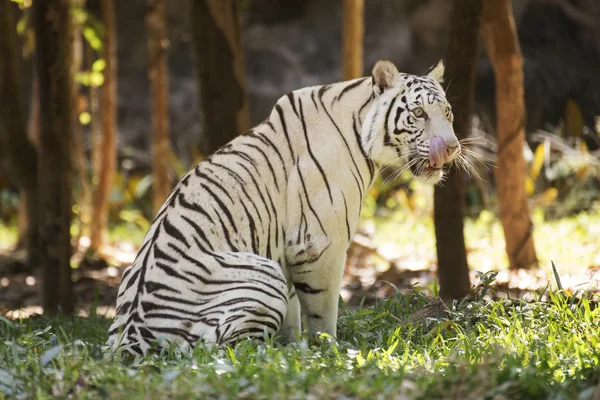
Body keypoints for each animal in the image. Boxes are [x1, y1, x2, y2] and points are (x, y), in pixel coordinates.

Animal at [110, 60, 462, 356]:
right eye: (419, 113)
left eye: (448, 113)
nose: (451, 148)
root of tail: (130, 340)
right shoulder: (321, 244)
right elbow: (323, 309)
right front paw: (327, 348)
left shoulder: (286, 250)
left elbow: (292, 316)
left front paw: (295, 347)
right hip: (262, 274)